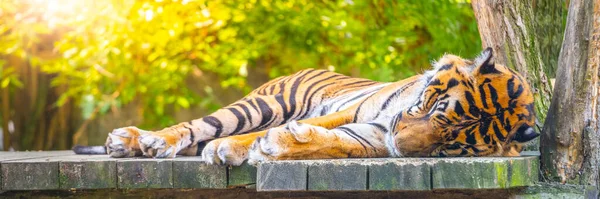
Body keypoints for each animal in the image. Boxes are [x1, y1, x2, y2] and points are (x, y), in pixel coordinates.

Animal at [74, 47, 540, 166]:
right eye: (438, 109)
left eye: (452, 145)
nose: (401, 147)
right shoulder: (357, 113)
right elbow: (249, 135)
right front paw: (235, 149)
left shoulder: (373, 134)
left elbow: (337, 144)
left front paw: (282, 146)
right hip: (261, 103)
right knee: (196, 126)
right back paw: (139, 140)